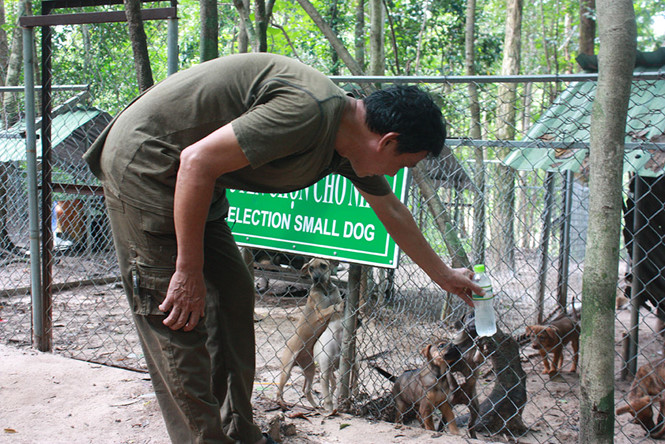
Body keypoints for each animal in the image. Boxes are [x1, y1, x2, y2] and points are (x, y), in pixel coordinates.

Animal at [274, 256, 342, 410]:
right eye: (311, 268)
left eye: (323, 265)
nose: (316, 278)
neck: (325, 290)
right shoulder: (321, 312)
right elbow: (333, 307)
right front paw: (340, 306)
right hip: (286, 371)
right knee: (279, 391)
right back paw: (282, 403)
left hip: (310, 370)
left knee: (306, 390)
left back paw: (315, 406)